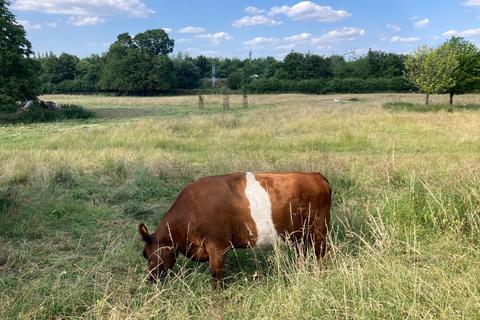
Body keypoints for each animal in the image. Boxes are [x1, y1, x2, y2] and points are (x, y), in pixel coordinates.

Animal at [139, 172, 332, 288]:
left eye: (147, 255)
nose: (150, 280)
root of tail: (316, 176)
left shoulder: (217, 245)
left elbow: (216, 271)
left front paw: (216, 293)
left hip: (319, 231)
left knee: (321, 254)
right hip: (300, 235)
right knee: (303, 255)